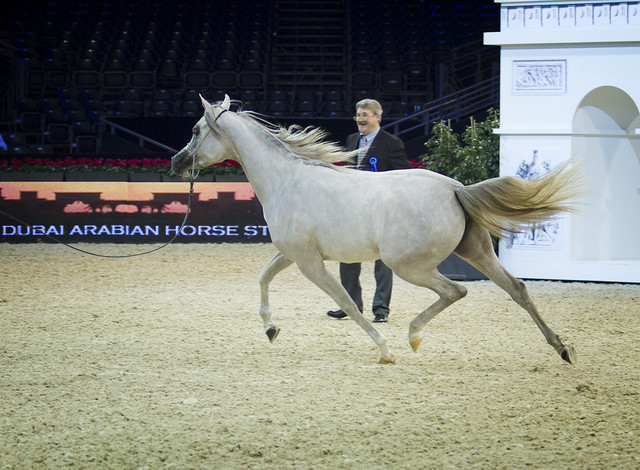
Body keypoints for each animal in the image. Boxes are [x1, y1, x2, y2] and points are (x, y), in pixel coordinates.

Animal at [171, 95, 581, 365]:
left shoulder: (309, 262)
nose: (176, 162)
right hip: (475, 251)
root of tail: (455, 189)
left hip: (410, 265)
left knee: (456, 290)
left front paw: (384, 350)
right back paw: (563, 348)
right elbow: (263, 277)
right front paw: (271, 329)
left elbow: (348, 302)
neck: (287, 180)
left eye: (194, 129)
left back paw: (413, 337)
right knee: (517, 289)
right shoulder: (293, 255)